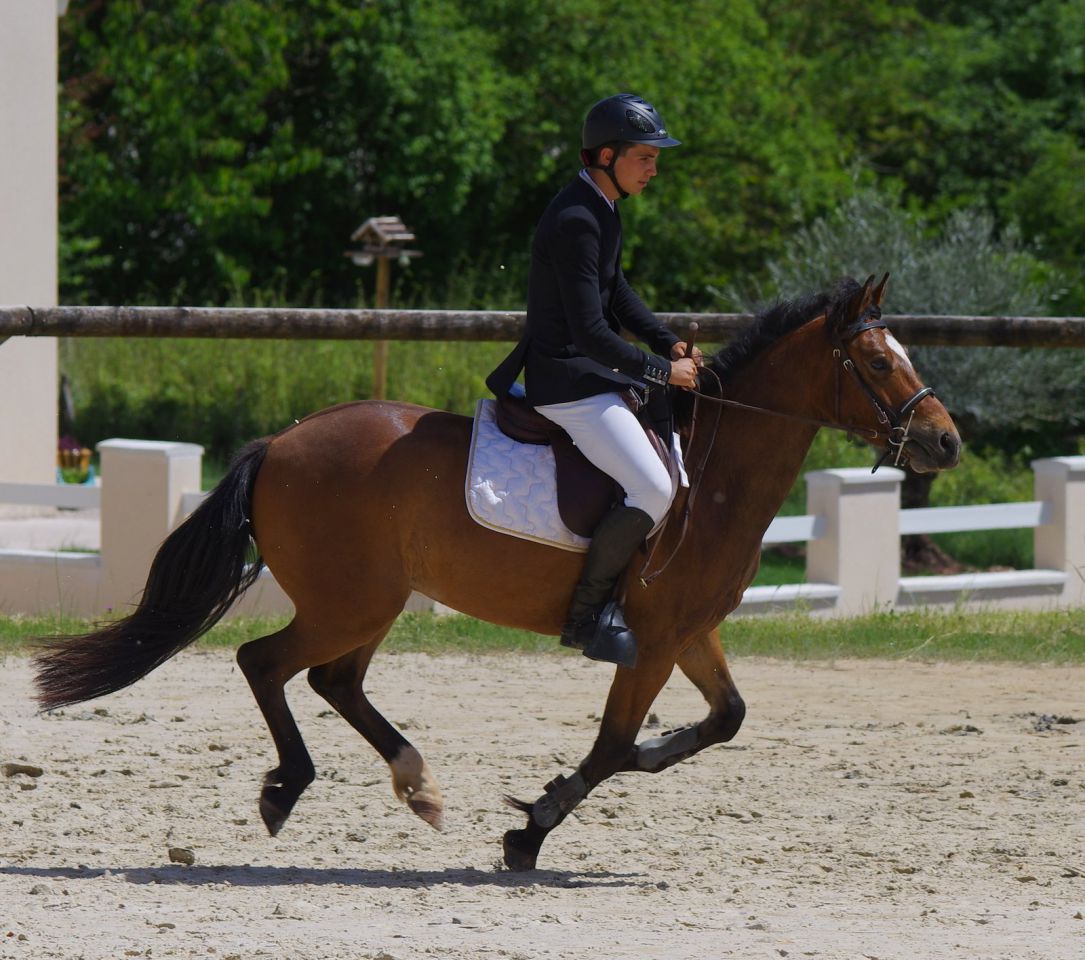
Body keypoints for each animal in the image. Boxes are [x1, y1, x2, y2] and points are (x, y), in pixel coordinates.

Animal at [33, 274, 960, 871]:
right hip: (349, 600)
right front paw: (531, 829)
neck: (715, 469)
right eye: (880, 364)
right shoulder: (653, 639)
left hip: (371, 602)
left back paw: (415, 782)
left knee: (334, 681)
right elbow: (614, 744)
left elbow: (720, 720)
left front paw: (554, 801)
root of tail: (281, 442)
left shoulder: (689, 632)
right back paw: (290, 789)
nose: (946, 443)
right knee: (265, 663)